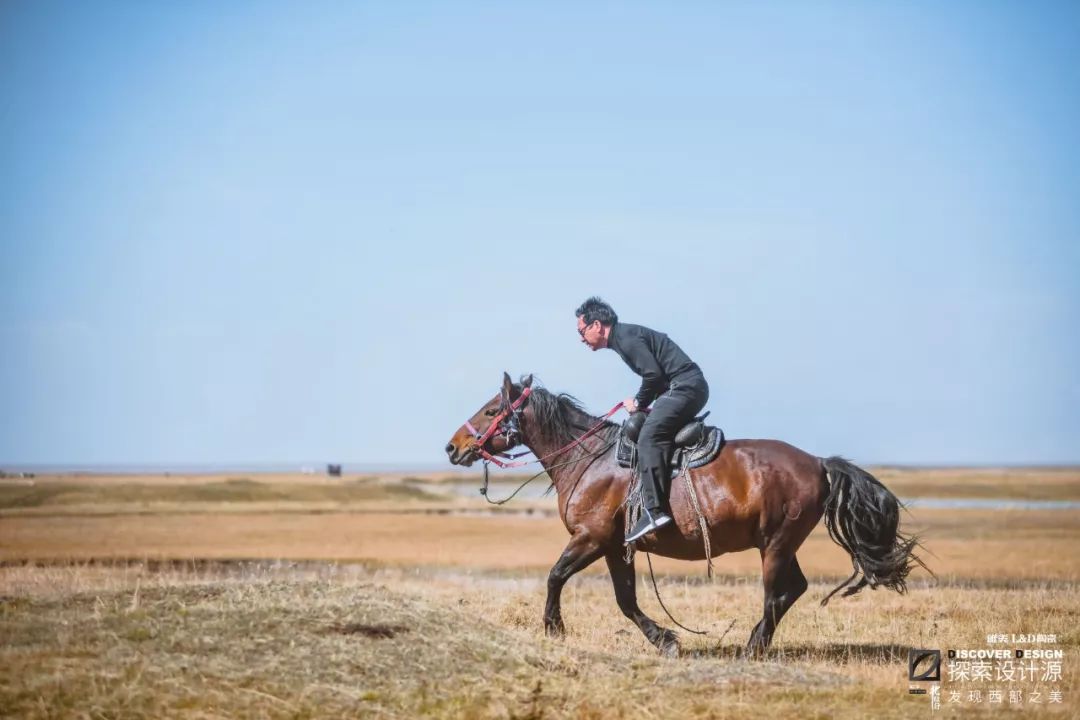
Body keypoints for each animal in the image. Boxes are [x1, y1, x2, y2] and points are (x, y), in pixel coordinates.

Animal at [442, 371, 924, 660]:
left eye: (491, 410)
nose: (452, 447)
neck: (591, 459)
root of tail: (819, 462)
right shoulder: (617, 547)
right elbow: (626, 600)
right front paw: (666, 640)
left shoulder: (591, 538)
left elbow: (556, 575)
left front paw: (554, 628)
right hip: (780, 544)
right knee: (794, 590)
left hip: (776, 543)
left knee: (775, 595)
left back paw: (753, 647)